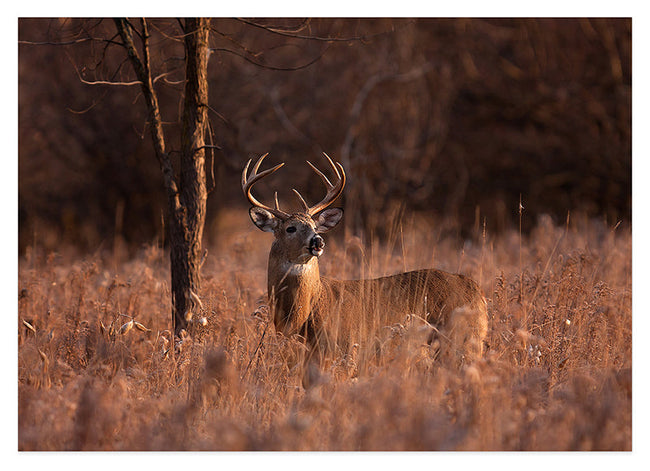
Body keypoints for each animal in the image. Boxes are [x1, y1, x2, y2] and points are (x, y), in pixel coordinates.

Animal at [242, 152, 488, 372]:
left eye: (314, 226)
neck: (302, 316)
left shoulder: (345, 348)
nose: (318, 241)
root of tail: (476, 290)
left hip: (462, 340)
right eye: (290, 228)